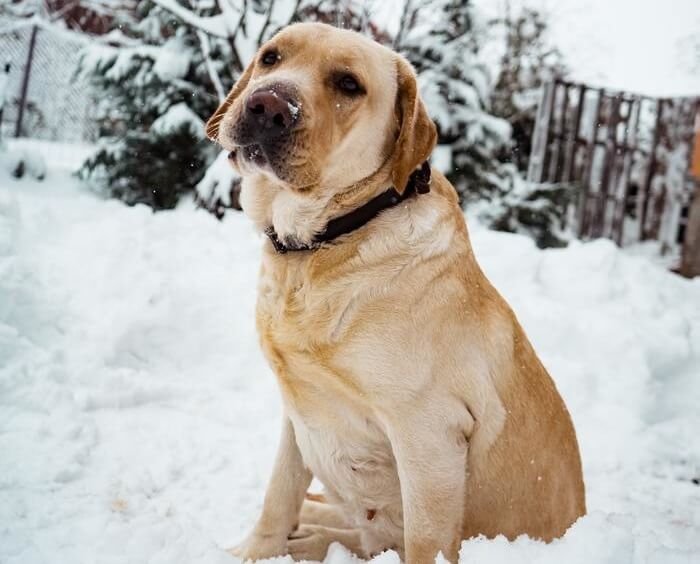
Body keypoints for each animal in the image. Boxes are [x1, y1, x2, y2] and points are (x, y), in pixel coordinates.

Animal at [206, 20, 584, 560]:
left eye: (348, 84)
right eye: (271, 57)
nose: (267, 105)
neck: (324, 242)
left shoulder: (429, 436)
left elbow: (425, 543)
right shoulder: (298, 410)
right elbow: (279, 492)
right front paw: (256, 550)